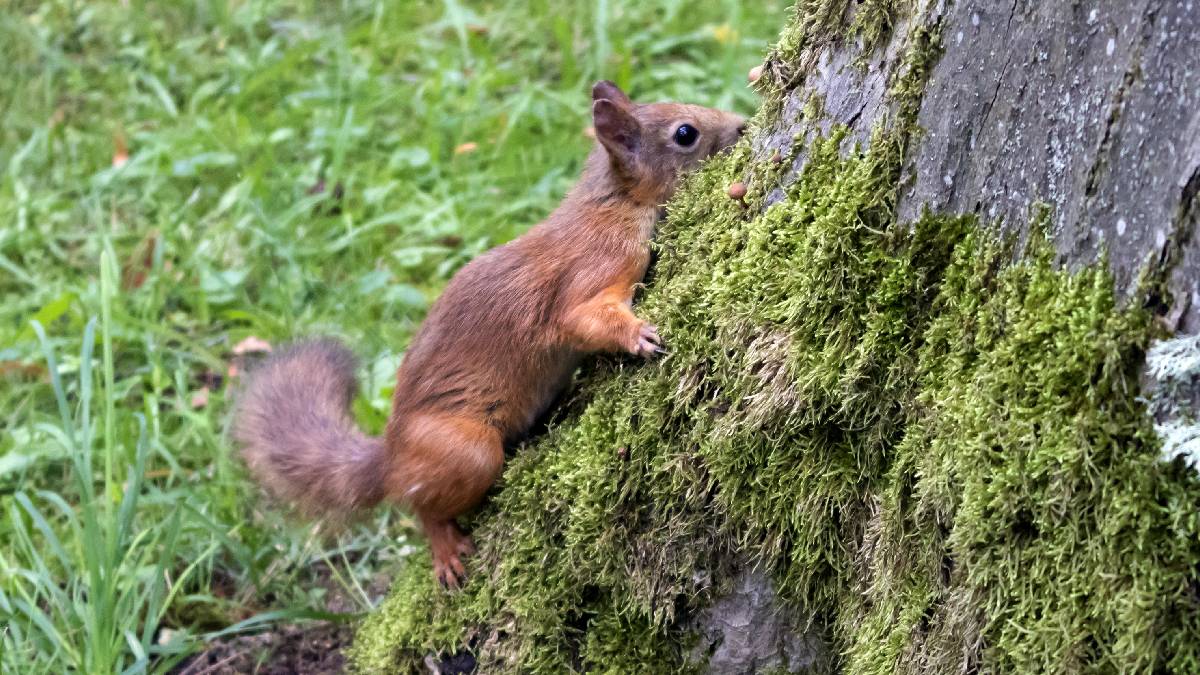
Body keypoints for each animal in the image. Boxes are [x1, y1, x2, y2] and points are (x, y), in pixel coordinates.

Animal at [232, 81, 739, 583]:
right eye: (685, 133)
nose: (740, 125)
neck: (615, 202)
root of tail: (391, 457)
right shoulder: (594, 268)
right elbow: (582, 319)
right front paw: (638, 336)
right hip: (465, 451)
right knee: (420, 504)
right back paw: (444, 547)